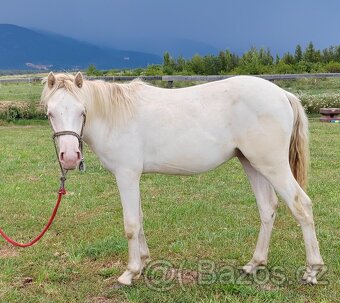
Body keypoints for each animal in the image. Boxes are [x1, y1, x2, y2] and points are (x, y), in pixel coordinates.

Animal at [41, 72, 324, 286]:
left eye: (82, 111)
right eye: (50, 113)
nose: (69, 157)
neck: (115, 116)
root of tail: (283, 94)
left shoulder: (127, 175)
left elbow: (131, 224)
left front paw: (129, 273)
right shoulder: (133, 177)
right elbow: (140, 219)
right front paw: (143, 262)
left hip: (272, 165)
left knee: (301, 205)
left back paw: (312, 271)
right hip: (252, 163)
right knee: (267, 208)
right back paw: (253, 265)